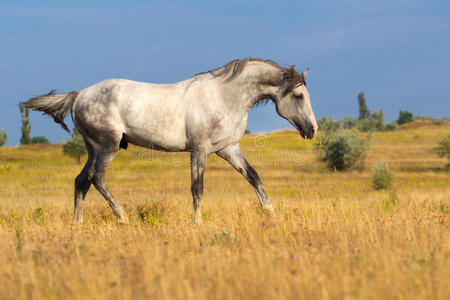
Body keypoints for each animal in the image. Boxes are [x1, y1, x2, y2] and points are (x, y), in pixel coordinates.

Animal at [22, 58, 318, 223]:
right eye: (298, 96)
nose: (312, 129)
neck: (224, 96)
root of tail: (79, 95)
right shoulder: (199, 150)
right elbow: (197, 189)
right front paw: (197, 222)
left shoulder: (228, 149)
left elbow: (255, 178)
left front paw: (271, 214)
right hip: (107, 147)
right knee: (97, 179)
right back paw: (123, 218)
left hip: (93, 149)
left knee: (81, 181)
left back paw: (77, 224)